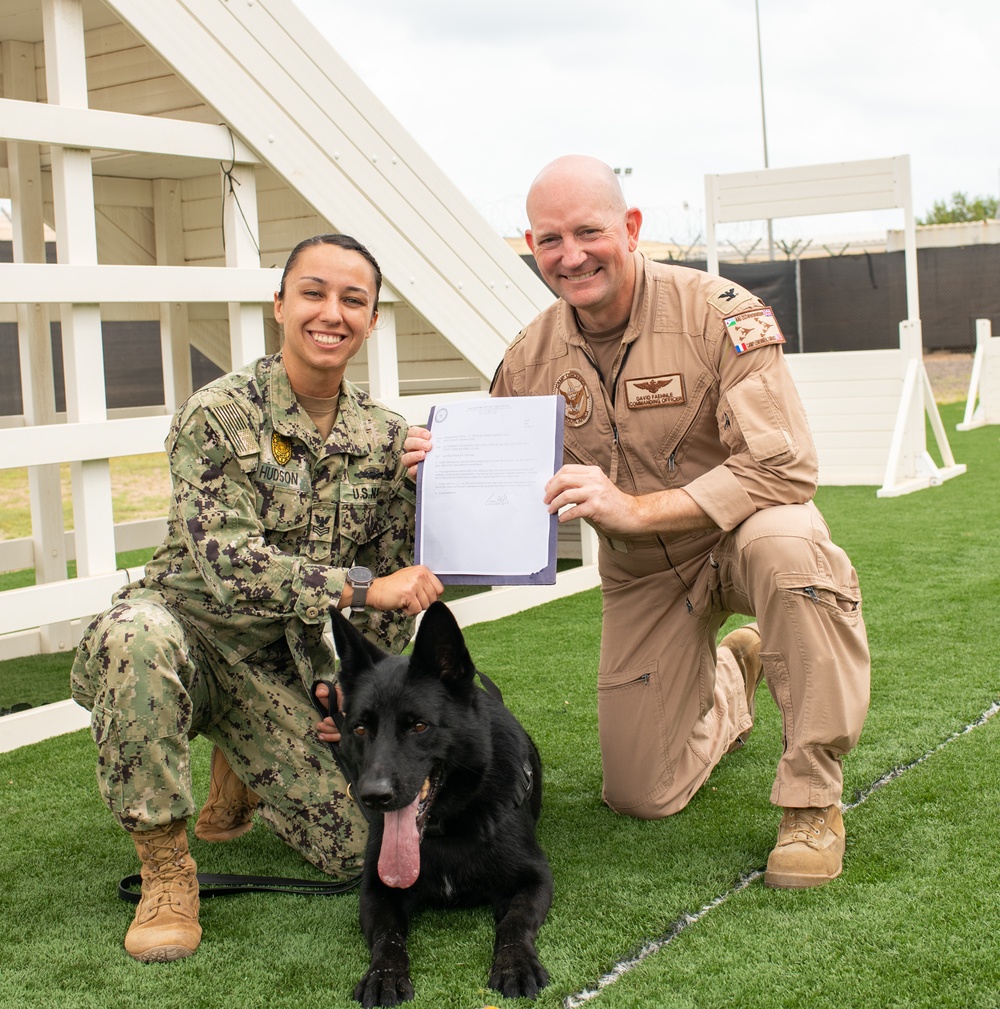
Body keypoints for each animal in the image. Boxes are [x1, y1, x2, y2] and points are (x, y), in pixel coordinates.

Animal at [330, 601, 557, 1004]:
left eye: (419, 726)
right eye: (360, 728)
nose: (374, 795)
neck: (445, 829)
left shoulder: (535, 879)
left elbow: (515, 922)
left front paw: (515, 964)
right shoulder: (375, 890)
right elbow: (387, 937)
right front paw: (383, 975)